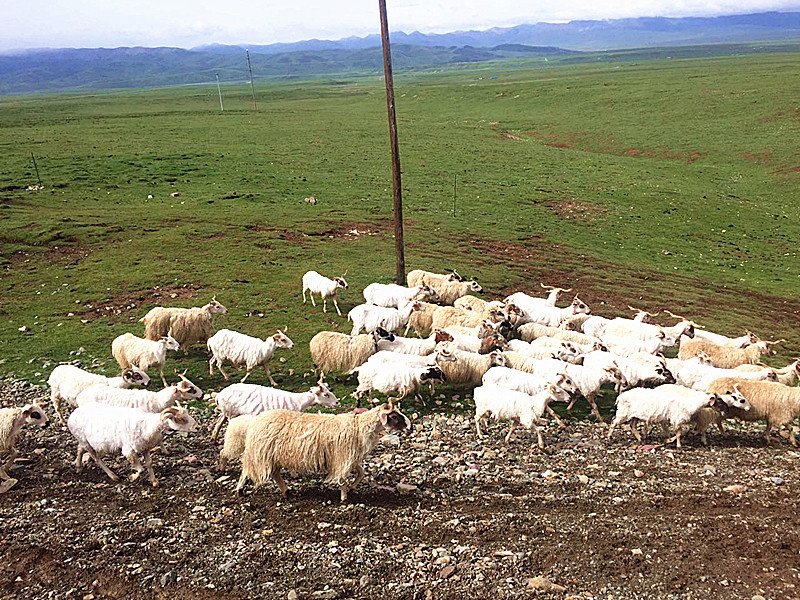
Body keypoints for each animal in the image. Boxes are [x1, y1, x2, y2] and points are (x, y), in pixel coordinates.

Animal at [69, 404, 200, 488]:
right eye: (181, 419)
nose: (198, 427)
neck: (147, 425)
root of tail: (73, 414)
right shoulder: (129, 451)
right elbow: (141, 469)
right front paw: (133, 476)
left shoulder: (145, 448)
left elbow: (149, 464)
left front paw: (154, 481)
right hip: (85, 441)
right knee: (96, 458)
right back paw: (113, 476)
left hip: (86, 442)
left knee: (80, 449)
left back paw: (78, 467)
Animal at [209, 378, 338, 442]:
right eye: (326, 394)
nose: (337, 402)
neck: (299, 401)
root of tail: (219, 395)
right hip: (231, 413)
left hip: (226, 412)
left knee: (219, 422)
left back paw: (213, 438)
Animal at [236, 400, 412, 504]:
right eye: (394, 416)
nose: (410, 427)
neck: (359, 426)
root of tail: (255, 420)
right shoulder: (341, 458)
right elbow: (342, 479)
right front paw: (344, 497)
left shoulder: (351, 458)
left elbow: (361, 474)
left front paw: (351, 488)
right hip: (260, 453)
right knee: (247, 471)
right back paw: (240, 490)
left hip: (274, 456)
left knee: (275, 474)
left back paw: (285, 492)